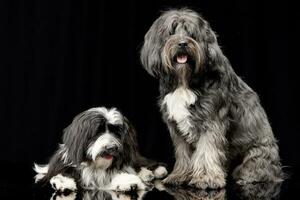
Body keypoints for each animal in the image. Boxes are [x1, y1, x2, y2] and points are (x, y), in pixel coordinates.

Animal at [34, 107, 169, 193]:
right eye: (98, 132)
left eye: (116, 133)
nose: (111, 148)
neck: (96, 166)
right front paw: (63, 181)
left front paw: (127, 181)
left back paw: (156, 171)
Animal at [139, 8, 282, 189]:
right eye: (171, 31)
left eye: (191, 32)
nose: (182, 43)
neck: (184, 81)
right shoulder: (176, 128)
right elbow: (183, 153)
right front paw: (180, 175)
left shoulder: (212, 121)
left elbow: (207, 150)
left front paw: (206, 178)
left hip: (257, 154)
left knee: (261, 170)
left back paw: (248, 176)